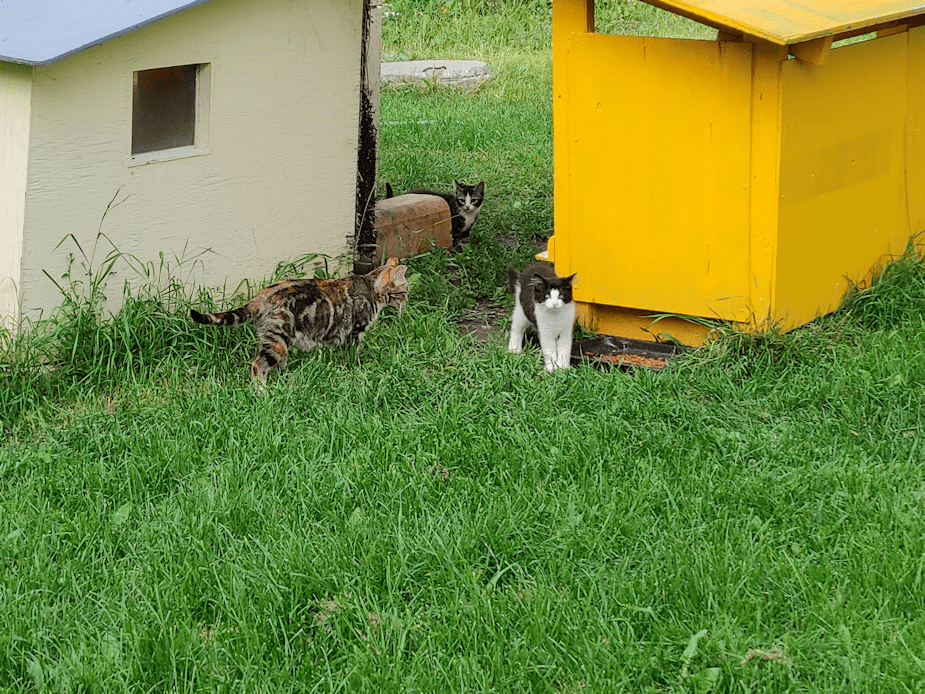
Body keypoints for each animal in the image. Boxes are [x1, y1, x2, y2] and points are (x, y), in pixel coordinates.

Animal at [191, 257, 409, 387]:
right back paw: (262, 391)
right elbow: (352, 355)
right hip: (278, 340)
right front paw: (355, 369)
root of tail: (260, 297)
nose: (407, 300)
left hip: (276, 341)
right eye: (405, 289)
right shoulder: (355, 332)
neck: (372, 289)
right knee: (257, 365)